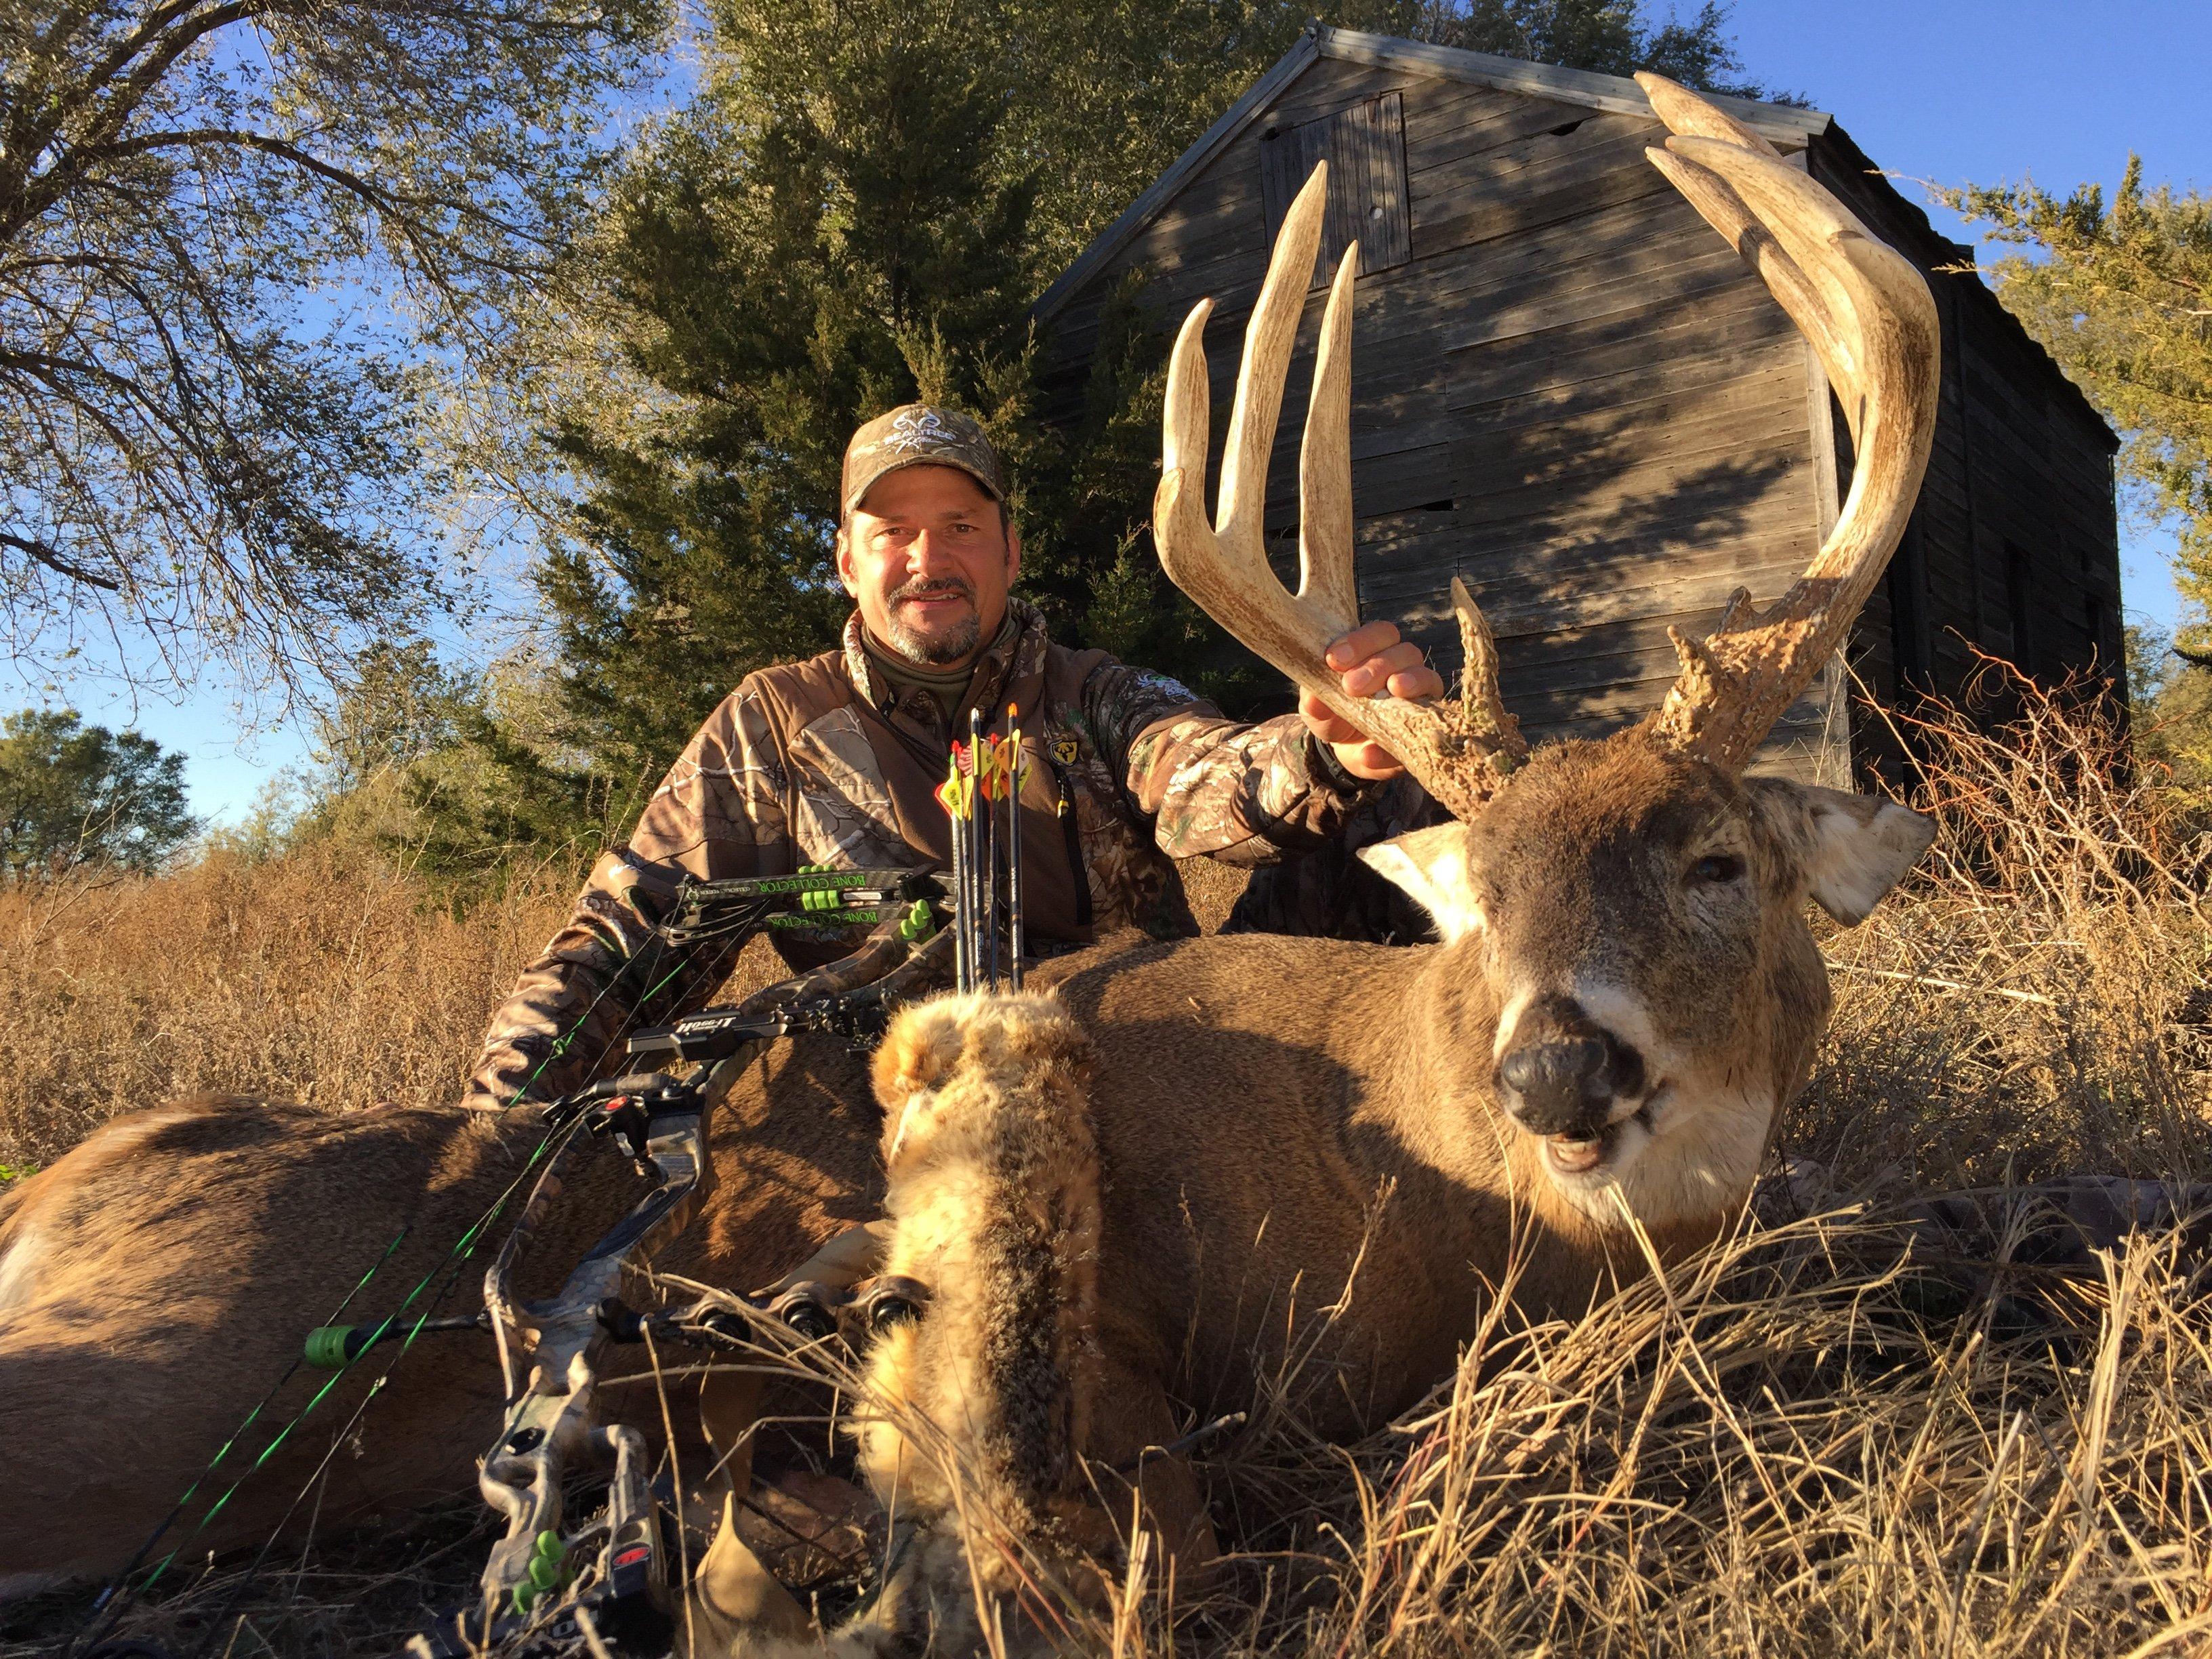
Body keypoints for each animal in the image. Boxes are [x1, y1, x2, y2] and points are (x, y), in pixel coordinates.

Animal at [0, 71, 1938, 1628]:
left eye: (1716, 860)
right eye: (1488, 902)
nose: (1556, 1065)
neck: (1428, 1194)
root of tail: (56, 1184)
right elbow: (1156, 1532)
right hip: (138, 1389)